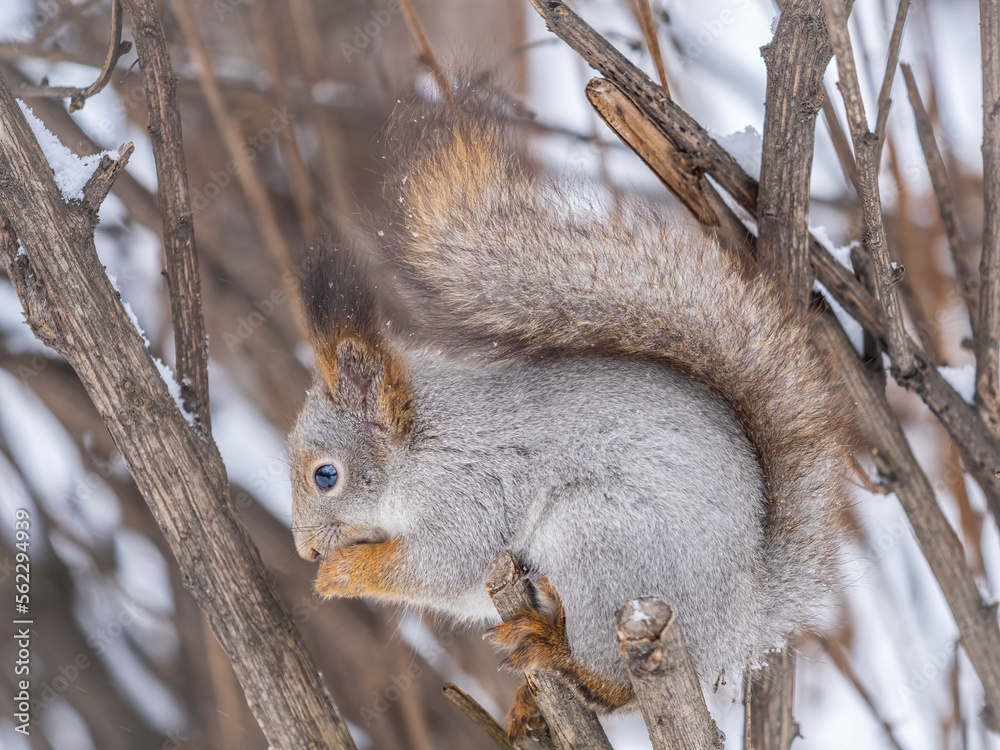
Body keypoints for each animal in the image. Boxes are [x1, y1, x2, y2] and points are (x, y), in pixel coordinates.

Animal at [287, 86, 853, 742]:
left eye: (326, 476)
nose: (305, 552)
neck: (422, 444)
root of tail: (737, 618)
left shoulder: (471, 489)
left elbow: (442, 563)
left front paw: (345, 573)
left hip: (601, 545)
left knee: (612, 679)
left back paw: (554, 650)